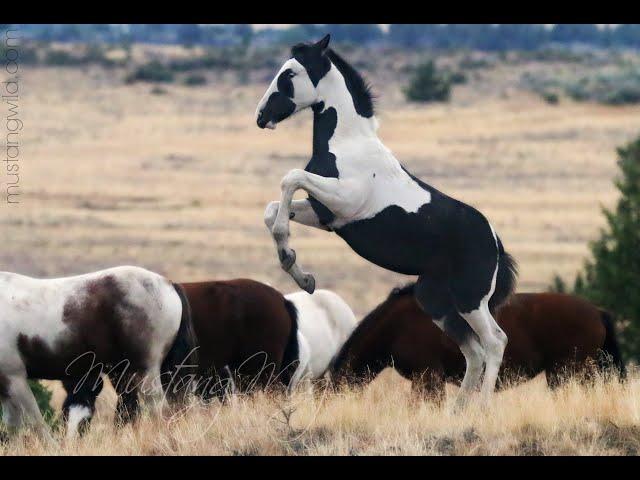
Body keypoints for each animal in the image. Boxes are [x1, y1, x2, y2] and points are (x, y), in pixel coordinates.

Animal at [255, 33, 516, 404]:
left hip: (470, 299)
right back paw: (458, 409)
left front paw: (296, 269)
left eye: (289, 74)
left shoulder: (344, 200)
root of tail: (495, 243)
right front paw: (300, 274)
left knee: (494, 343)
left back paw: (481, 407)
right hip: (436, 300)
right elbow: (273, 210)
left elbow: (290, 178)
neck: (347, 145)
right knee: (474, 352)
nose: (261, 116)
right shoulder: (327, 215)